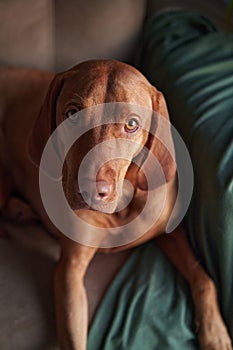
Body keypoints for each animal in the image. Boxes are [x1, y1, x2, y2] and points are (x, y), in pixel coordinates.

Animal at [0, 60, 231, 350]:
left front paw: (215, 333)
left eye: (132, 124)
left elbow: (203, 278)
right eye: (73, 114)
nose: (90, 190)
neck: (122, 206)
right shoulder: (69, 273)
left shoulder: (169, 231)